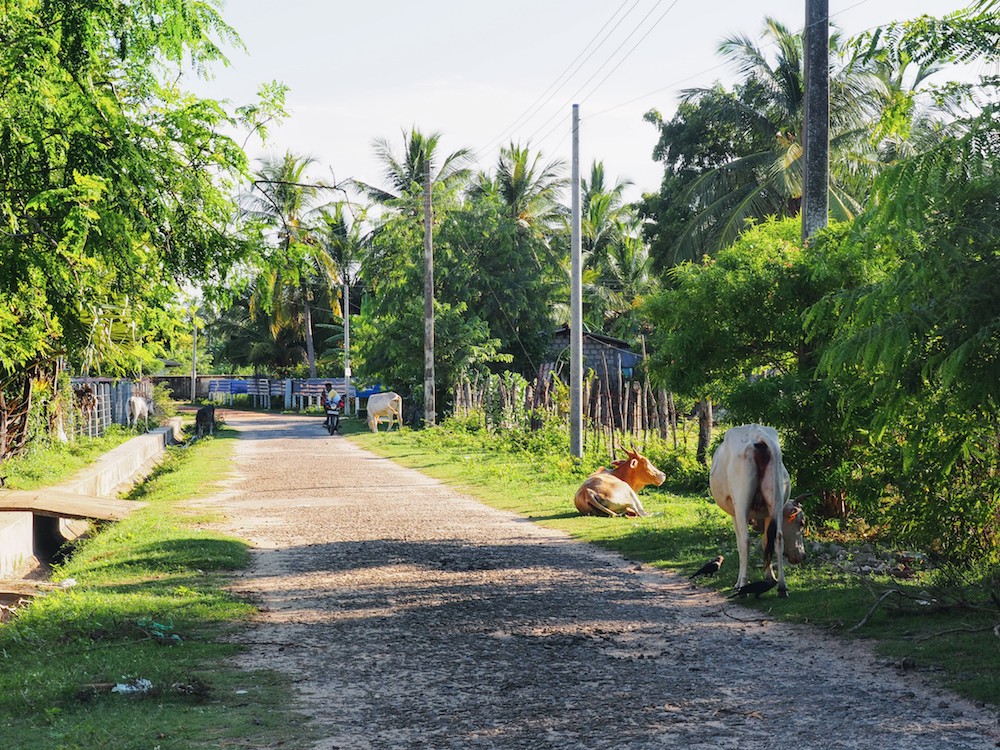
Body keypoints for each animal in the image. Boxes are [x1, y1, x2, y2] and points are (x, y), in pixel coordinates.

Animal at [708, 424, 808, 600]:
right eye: (801, 523)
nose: (802, 556)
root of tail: (758, 435)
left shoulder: (734, 514)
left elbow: (742, 543)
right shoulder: (768, 515)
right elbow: (766, 541)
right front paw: (770, 577)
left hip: (741, 502)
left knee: (745, 541)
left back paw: (742, 587)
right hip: (774, 501)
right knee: (778, 538)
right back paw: (782, 587)